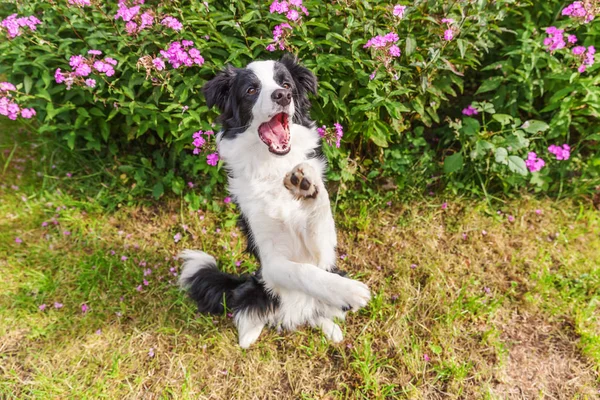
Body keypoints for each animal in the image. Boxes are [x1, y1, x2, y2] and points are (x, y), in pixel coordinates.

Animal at [177, 54, 370, 348]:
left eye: (286, 84)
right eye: (251, 90)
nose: (283, 95)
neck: (274, 169)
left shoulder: (323, 255)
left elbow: (321, 215)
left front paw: (308, 184)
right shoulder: (270, 262)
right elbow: (302, 272)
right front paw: (351, 291)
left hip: (335, 274)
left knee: (318, 312)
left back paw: (331, 329)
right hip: (254, 287)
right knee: (249, 310)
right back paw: (248, 336)